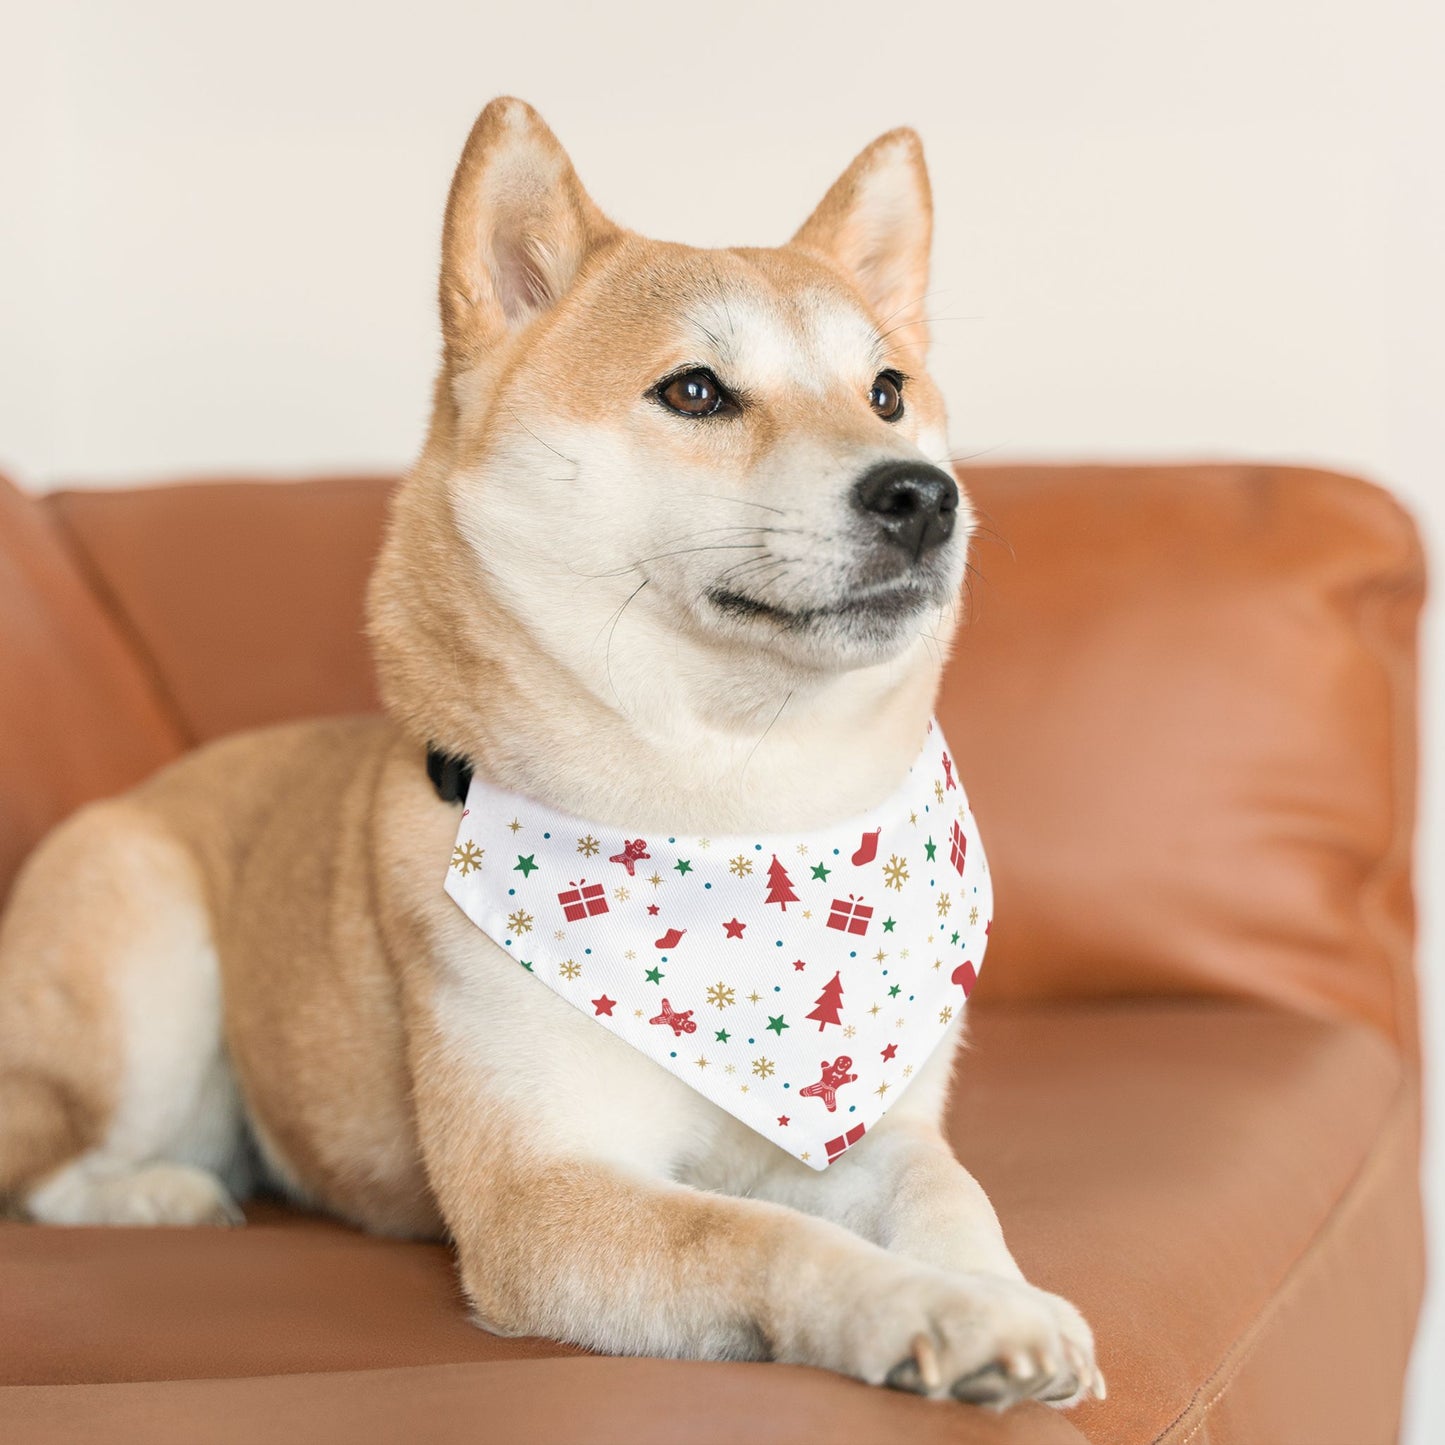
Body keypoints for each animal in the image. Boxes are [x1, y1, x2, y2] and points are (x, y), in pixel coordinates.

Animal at [0, 98, 1098, 1410]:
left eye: (886, 390)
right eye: (694, 390)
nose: (923, 495)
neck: (736, 809)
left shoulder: (874, 1126)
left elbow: (950, 1195)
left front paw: (999, 1295)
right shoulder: (542, 1195)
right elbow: (762, 1235)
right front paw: (927, 1308)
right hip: (145, 963)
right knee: (48, 1166)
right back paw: (161, 1192)